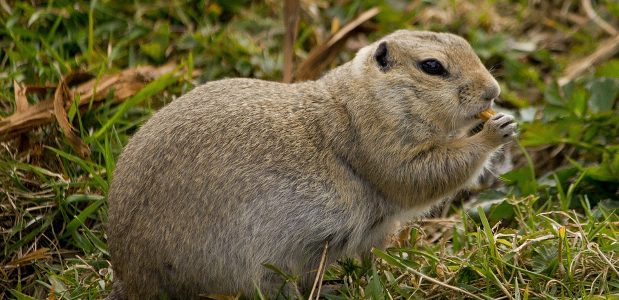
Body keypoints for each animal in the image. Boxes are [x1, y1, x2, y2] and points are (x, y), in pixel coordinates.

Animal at [106, 29, 520, 298]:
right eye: (432, 66)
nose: (493, 91)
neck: (362, 100)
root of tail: (128, 274)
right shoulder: (381, 144)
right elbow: (421, 175)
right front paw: (495, 131)